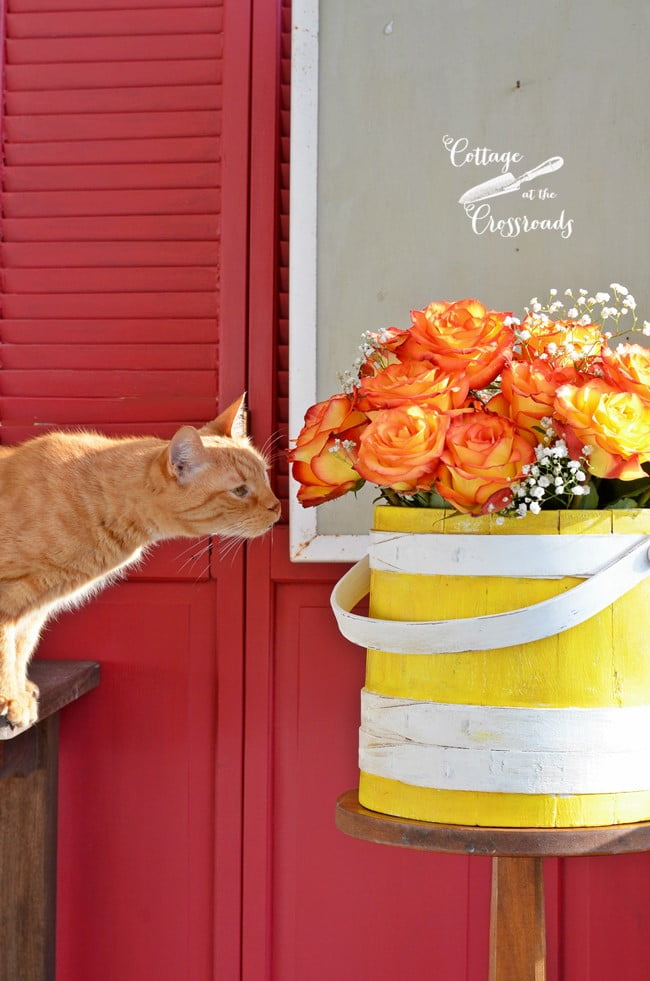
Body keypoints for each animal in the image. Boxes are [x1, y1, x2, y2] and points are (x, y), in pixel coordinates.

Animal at [0, 392, 278, 728]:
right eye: (239, 491)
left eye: (265, 475)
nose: (277, 507)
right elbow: (5, 647)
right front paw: (10, 698)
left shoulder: (35, 605)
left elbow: (21, 645)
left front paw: (20, 691)